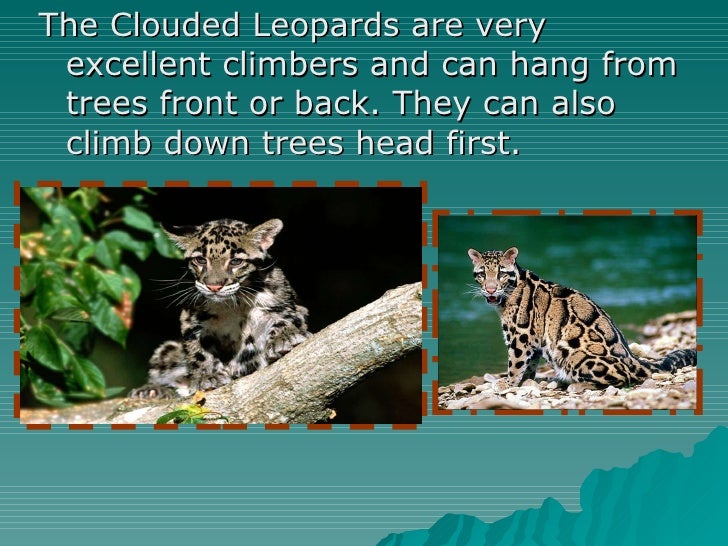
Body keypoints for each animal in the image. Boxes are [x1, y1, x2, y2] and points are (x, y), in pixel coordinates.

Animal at [130, 218, 311, 398]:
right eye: (201, 260)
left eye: (236, 261)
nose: (213, 286)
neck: (233, 304)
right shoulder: (191, 320)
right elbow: (198, 350)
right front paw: (207, 376)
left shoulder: (287, 304)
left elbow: (287, 318)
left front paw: (285, 337)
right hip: (167, 350)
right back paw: (152, 390)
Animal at [467, 246, 697, 388]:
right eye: (482, 274)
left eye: (501, 273)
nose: (490, 289)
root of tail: (632, 359)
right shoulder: (533, 340)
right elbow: (530, 365)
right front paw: (525, 382)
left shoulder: (520, 336)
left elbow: (515, 364)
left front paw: (507, 385)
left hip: (570, 352)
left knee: (622, 378)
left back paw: (574, 384)